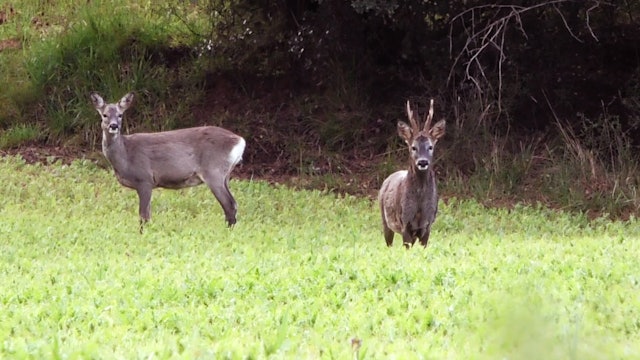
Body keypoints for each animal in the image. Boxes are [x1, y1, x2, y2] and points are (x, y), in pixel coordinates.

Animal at [91, 91, 246, 232]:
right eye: (104, 115)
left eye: (120, 115)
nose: (113, 126)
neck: (126, 155)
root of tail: (240, 141)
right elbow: (148, 215)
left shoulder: (145, 180)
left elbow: (143, 216)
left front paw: (142, 235)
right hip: (225, 175)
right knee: (233, 204)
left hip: (214, 172)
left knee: (230, 205)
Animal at [378, 98, 448, 248]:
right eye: (413, 147)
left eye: (430, 147)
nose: (422, 162)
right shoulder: (405, 221)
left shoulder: (428, 224)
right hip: (385, 220)